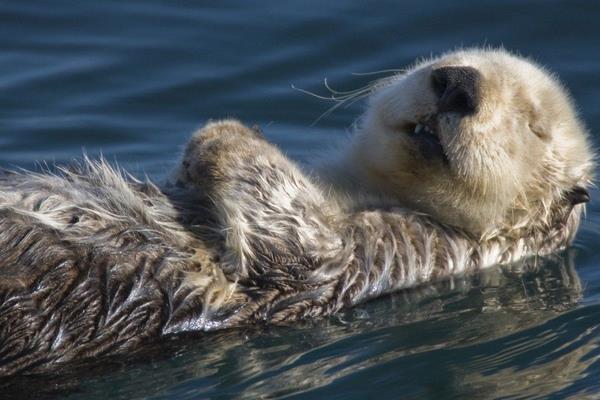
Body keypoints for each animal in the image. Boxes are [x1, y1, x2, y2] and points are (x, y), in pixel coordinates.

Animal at [0, 47, 592, 376]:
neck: (358, 188)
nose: (459, 83)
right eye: (446, 63)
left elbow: (296, 245)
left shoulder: (397, 251)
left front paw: (223, 134)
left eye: (534, 125)